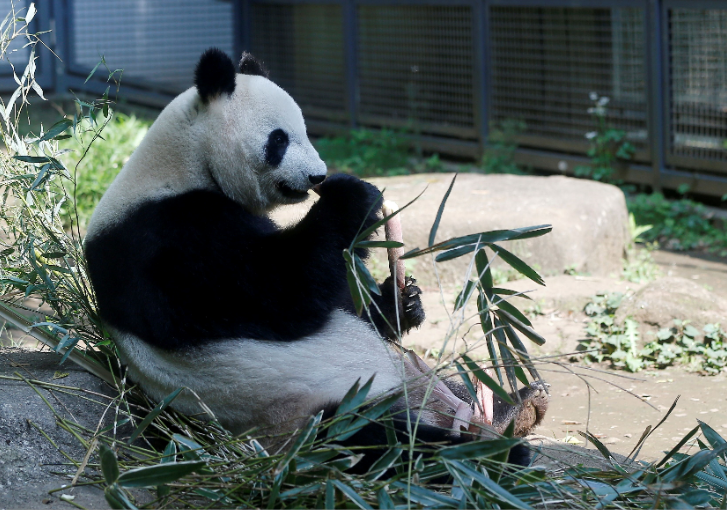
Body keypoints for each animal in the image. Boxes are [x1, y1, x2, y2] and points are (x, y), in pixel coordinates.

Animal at [84, 50, 544, 470]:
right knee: (378, 443)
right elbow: (279, 292)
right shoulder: (166, 239)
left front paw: (404, 301)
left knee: (458, 384)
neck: (183, 162)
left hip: (408, 375)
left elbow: (337, 296)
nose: (318, 176)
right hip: (309, 412)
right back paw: (490, 454)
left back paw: (515, 407)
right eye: (279, 139)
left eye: (305, 131)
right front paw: (354, 195)